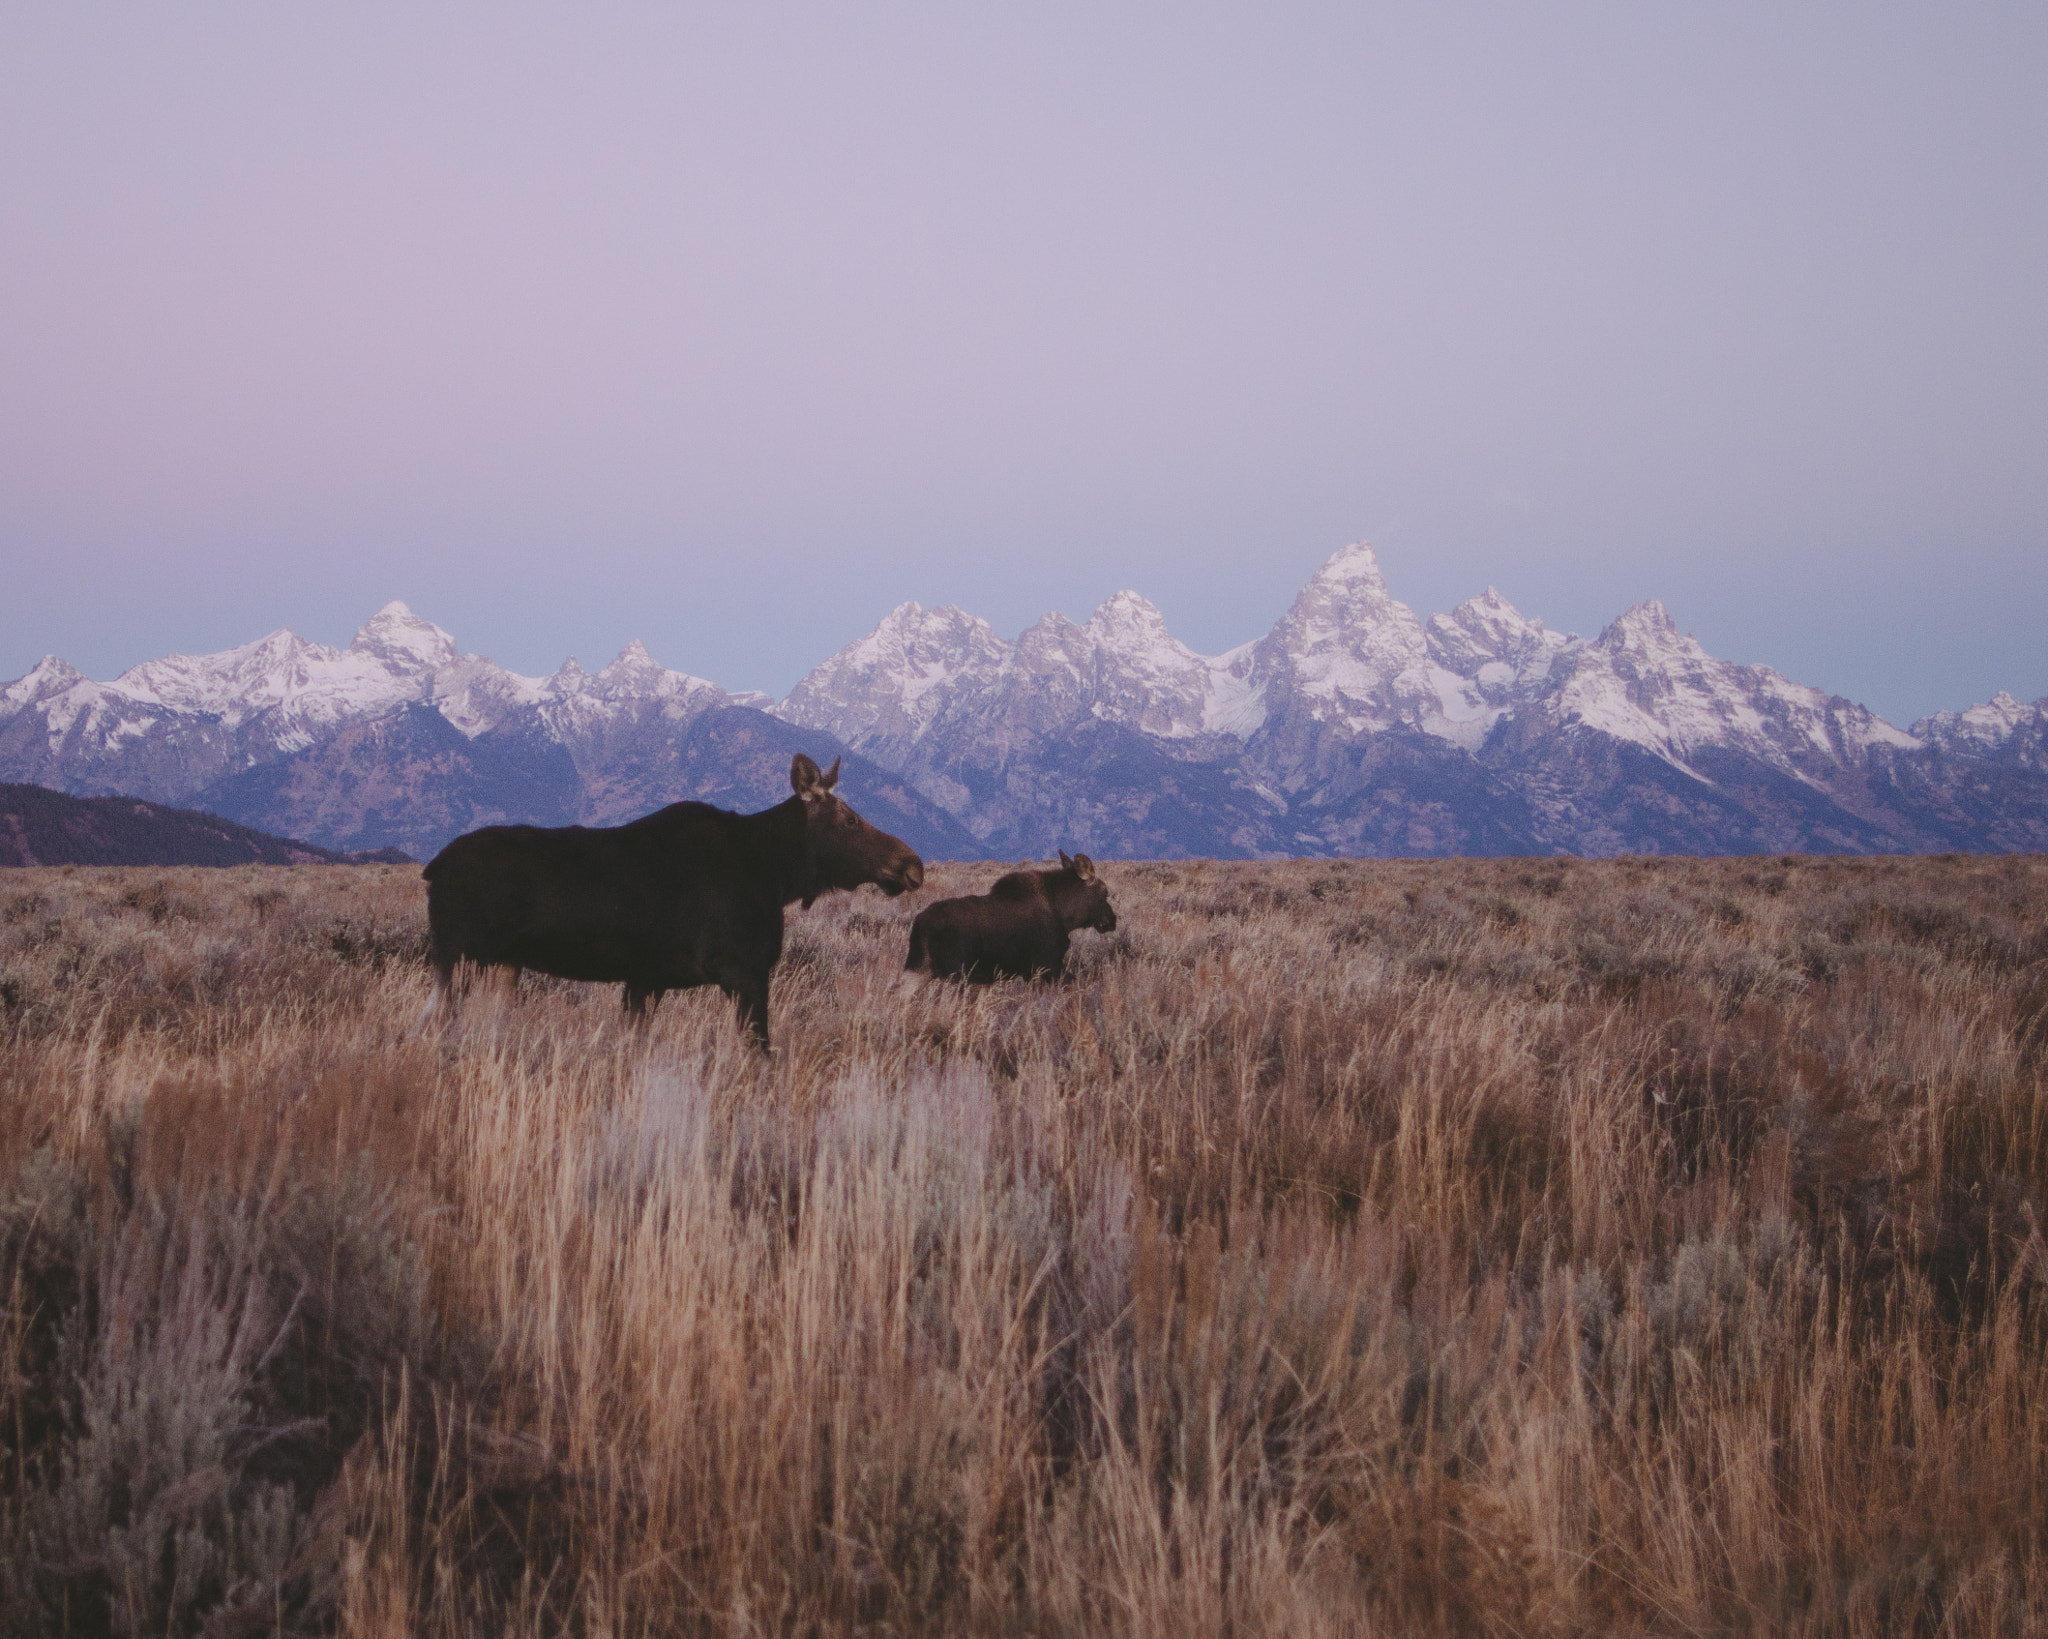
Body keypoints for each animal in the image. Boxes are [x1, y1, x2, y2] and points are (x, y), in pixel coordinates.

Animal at [419, 753, 925, 1048]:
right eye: (851, 820)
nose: (912, 864)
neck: (777, 876)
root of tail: (432, 868)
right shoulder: (743, 970)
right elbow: (759, 1052)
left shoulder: (646, 979)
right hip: (461, 958)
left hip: (498, 964)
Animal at [901, 852, 1114, 979]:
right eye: (1105, 892)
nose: (1112, 920)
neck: (1065, 915)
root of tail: (919, 923)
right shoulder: (1047, 964)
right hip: (955, 972)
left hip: (919, 968)